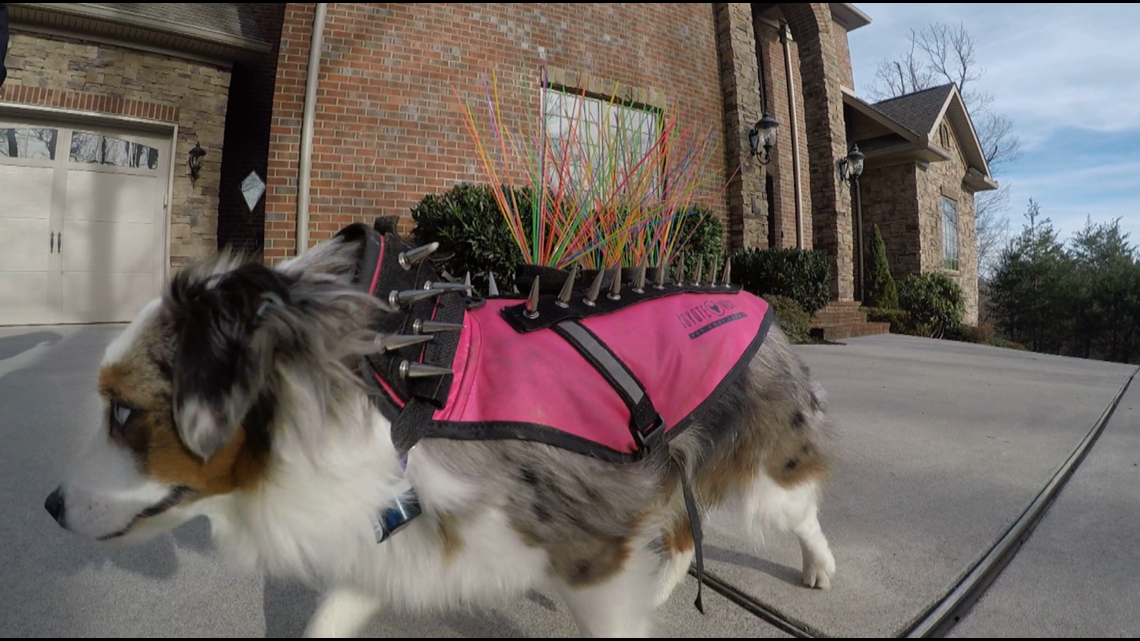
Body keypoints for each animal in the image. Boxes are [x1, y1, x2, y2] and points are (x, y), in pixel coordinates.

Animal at [44, 221, 839, 634]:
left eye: (124, 413)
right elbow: (330, 615)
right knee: (678, 530)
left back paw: (819, 566)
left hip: (765, 472)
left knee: (801, 504)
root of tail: (758, 300)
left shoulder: (588, 548)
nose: (49, 505)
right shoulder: (402, 535)